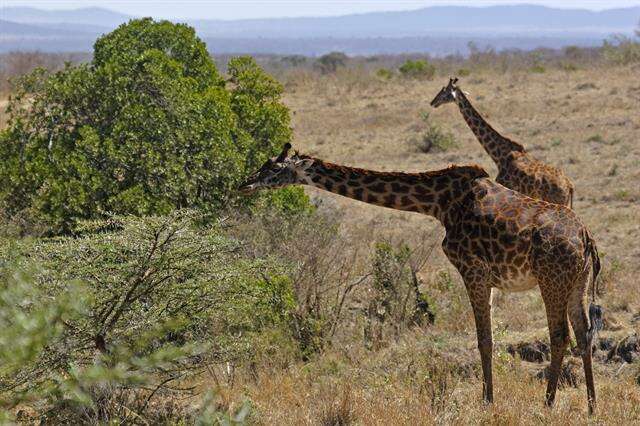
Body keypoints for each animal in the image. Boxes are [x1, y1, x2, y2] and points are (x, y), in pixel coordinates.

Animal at [242, 143, 604, 412]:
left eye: (274, 168)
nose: (245, 184)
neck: (437, 202)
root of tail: (586, 238)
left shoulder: (472, 269)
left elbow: (484, 340)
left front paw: (487, 401)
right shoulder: (485, 276)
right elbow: (487, 338)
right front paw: (488, 398)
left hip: (551, 279)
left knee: (560, 335)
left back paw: (548, 403)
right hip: (577, 282)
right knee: (584, 332)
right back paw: (590, 404)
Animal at [430, 78, 576, 210]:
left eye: (444, 92)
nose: (433, 102)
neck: (499, 155)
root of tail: (569, 185)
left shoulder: (505, 186)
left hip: (557, 201)